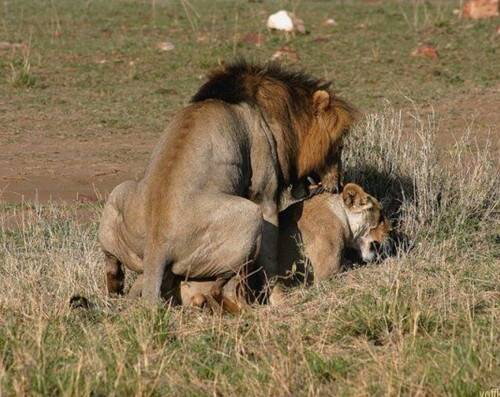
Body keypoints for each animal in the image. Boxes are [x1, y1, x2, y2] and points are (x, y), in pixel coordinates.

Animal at [98, 62, 356, 304]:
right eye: (338, 146)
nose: (338, 184)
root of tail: (156, 246)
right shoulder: (264, 197)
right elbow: (270, 261)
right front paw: (278, 298)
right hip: (249, 216)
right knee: (227, 286)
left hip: (119, 193)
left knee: (111, 261)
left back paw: (116, 291)